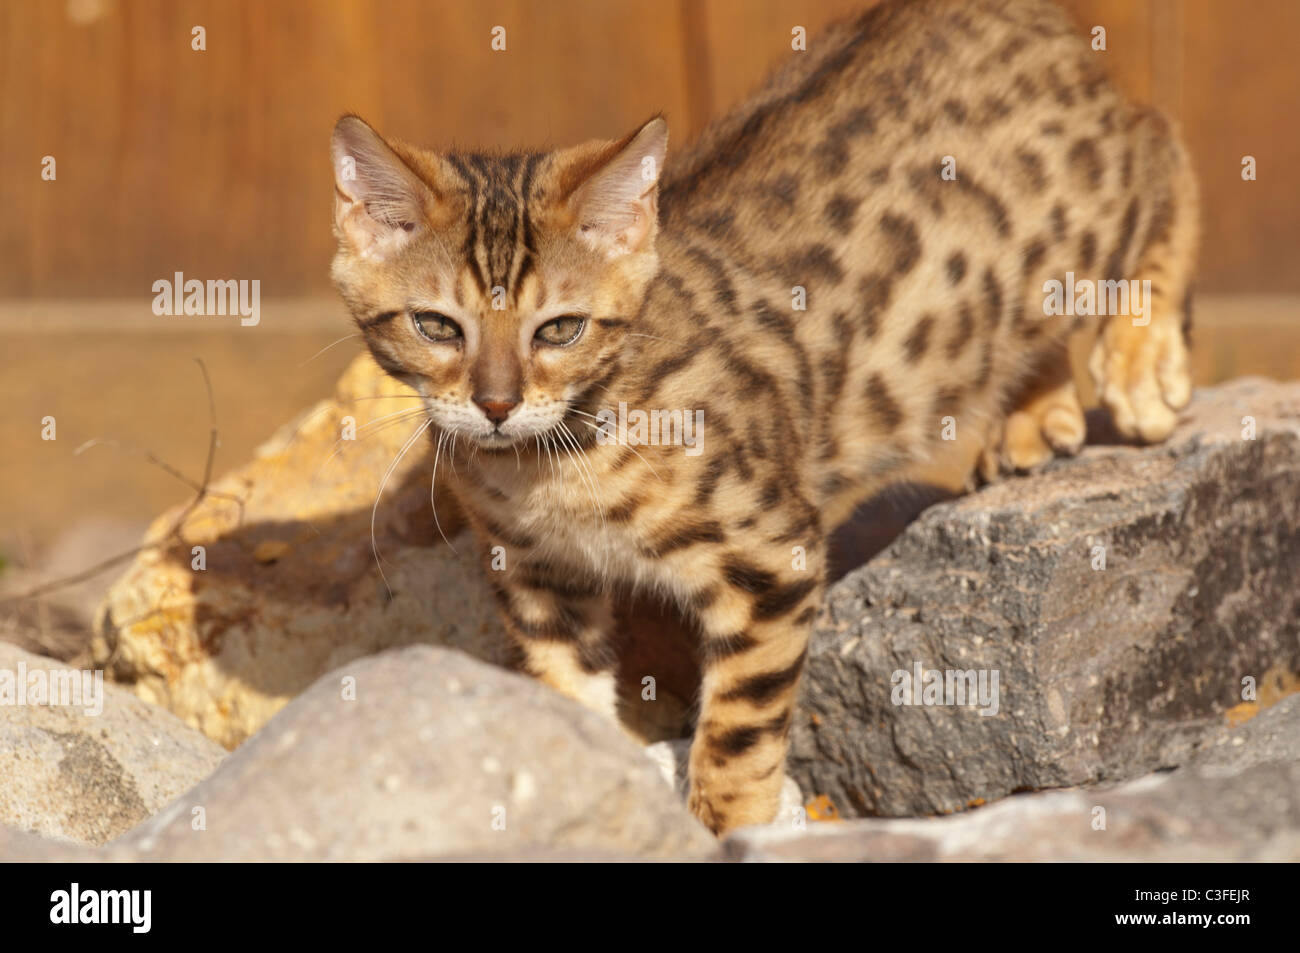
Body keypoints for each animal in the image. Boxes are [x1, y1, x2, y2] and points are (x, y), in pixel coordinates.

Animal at [327, 0, 1196, 832]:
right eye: (437, 326)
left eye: (560, 329)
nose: (497, 405)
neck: (551, 461)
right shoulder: (537, 576)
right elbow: (567, 700)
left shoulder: (771, 551)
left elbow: (736, 730)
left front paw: (725, 827)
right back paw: (1032, 414)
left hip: (1078, 218)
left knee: (1162, 142)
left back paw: (1142, 356)